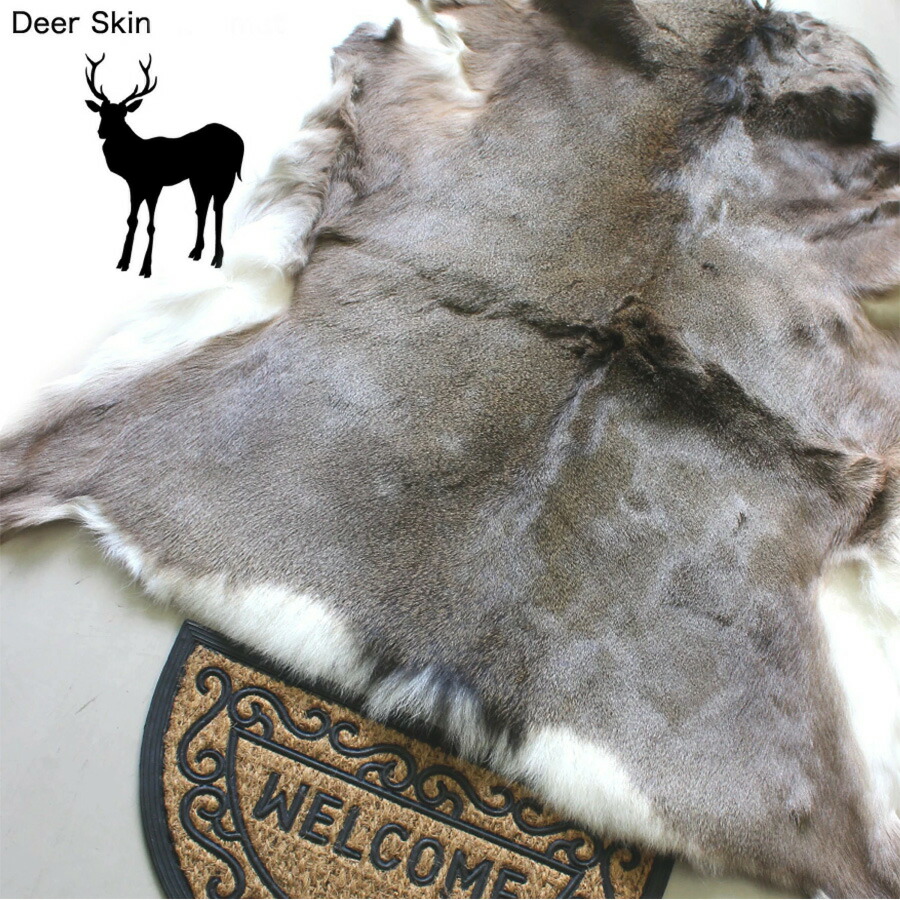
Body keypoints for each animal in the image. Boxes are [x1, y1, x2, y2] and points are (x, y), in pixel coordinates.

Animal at [84, 54, 244, 277]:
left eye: (122, 114)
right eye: (101, 112)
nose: (102, 132)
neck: (135, 156)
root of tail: (241, 141)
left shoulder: (155, 184)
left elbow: (151, 226)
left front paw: (146, 268)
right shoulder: (134, 185)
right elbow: (131, 220)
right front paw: (123, 262)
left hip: (225, 175)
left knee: (218, 208)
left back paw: (217, 259)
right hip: (198, 179)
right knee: (202, 208)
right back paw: (196, 252)